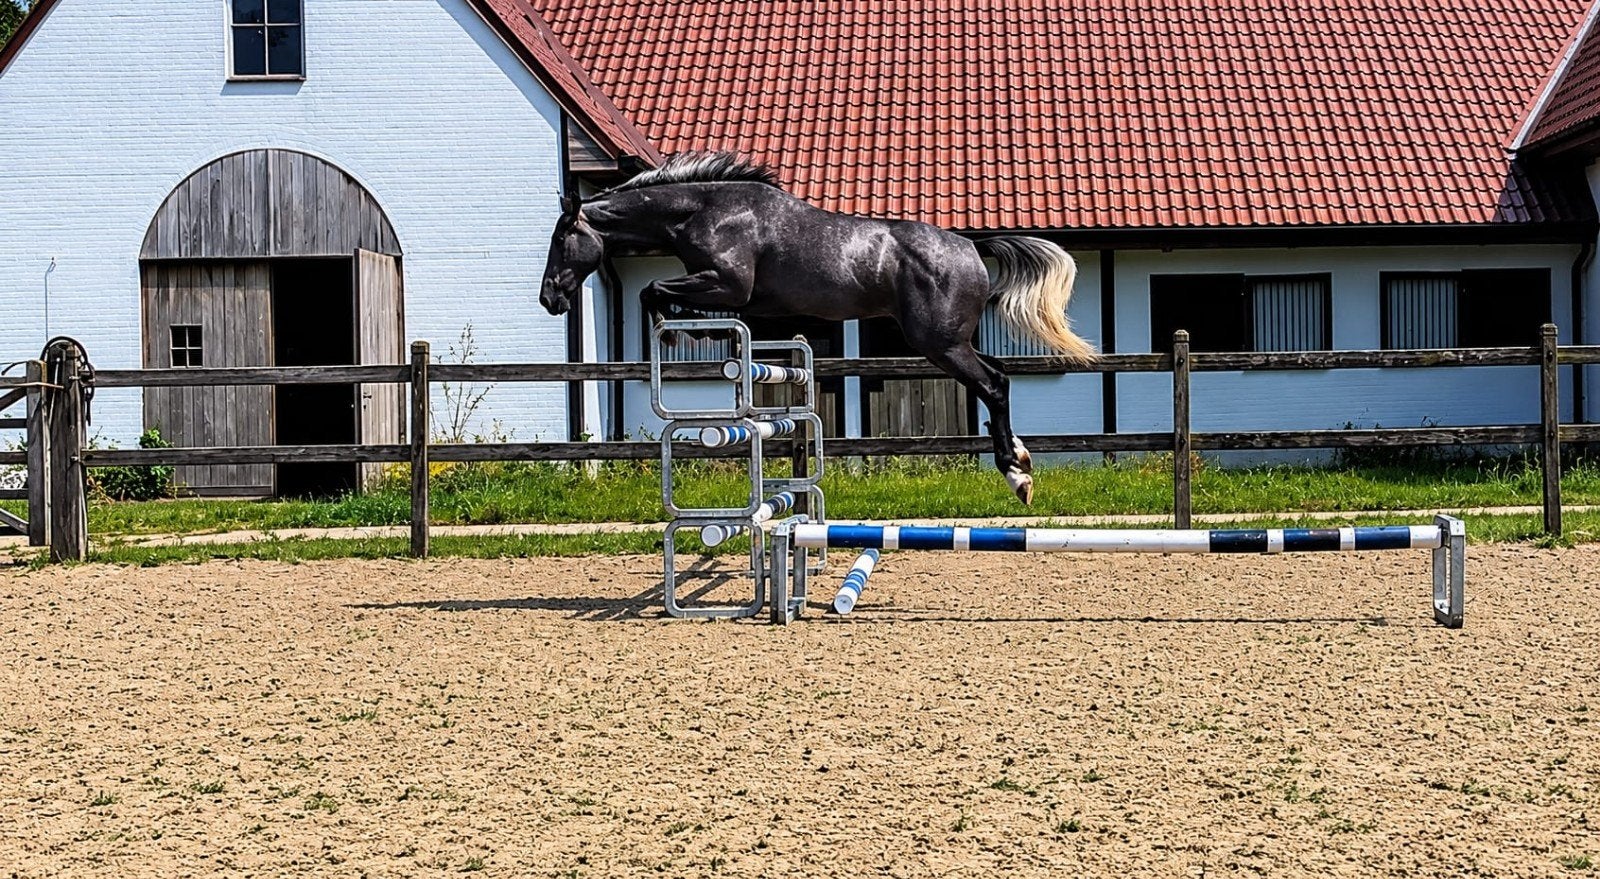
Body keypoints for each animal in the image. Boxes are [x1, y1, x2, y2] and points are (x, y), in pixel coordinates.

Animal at [539, 151, 1097, 505]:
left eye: (562, 239)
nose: (550, 299)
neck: (705, 210)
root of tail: (970, 247)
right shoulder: (741, 301)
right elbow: (670, 300)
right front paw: (684, 332)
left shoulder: (727, 286)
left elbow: (652, 291)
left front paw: (673, 331)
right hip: (951, 342)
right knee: (998, 374)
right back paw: (1020, 458)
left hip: (939, 343)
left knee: (994, 384)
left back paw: (1016, 474)